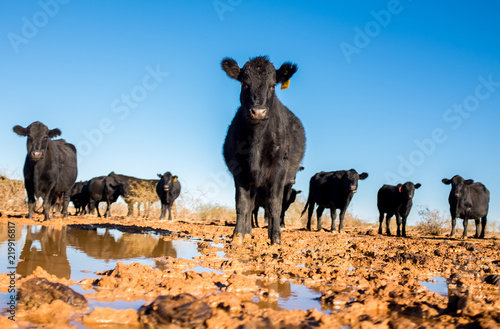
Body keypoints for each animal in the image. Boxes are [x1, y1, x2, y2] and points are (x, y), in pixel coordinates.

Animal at [222, 55, 304, 243]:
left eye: (273, 85)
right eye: (244, 84)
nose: (258, 112)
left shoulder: (279, 169)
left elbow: (274, 204)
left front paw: (276, 238)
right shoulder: (240, 170)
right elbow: (242, 204)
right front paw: (237, 236)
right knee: (251, 205)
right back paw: (248, 231)